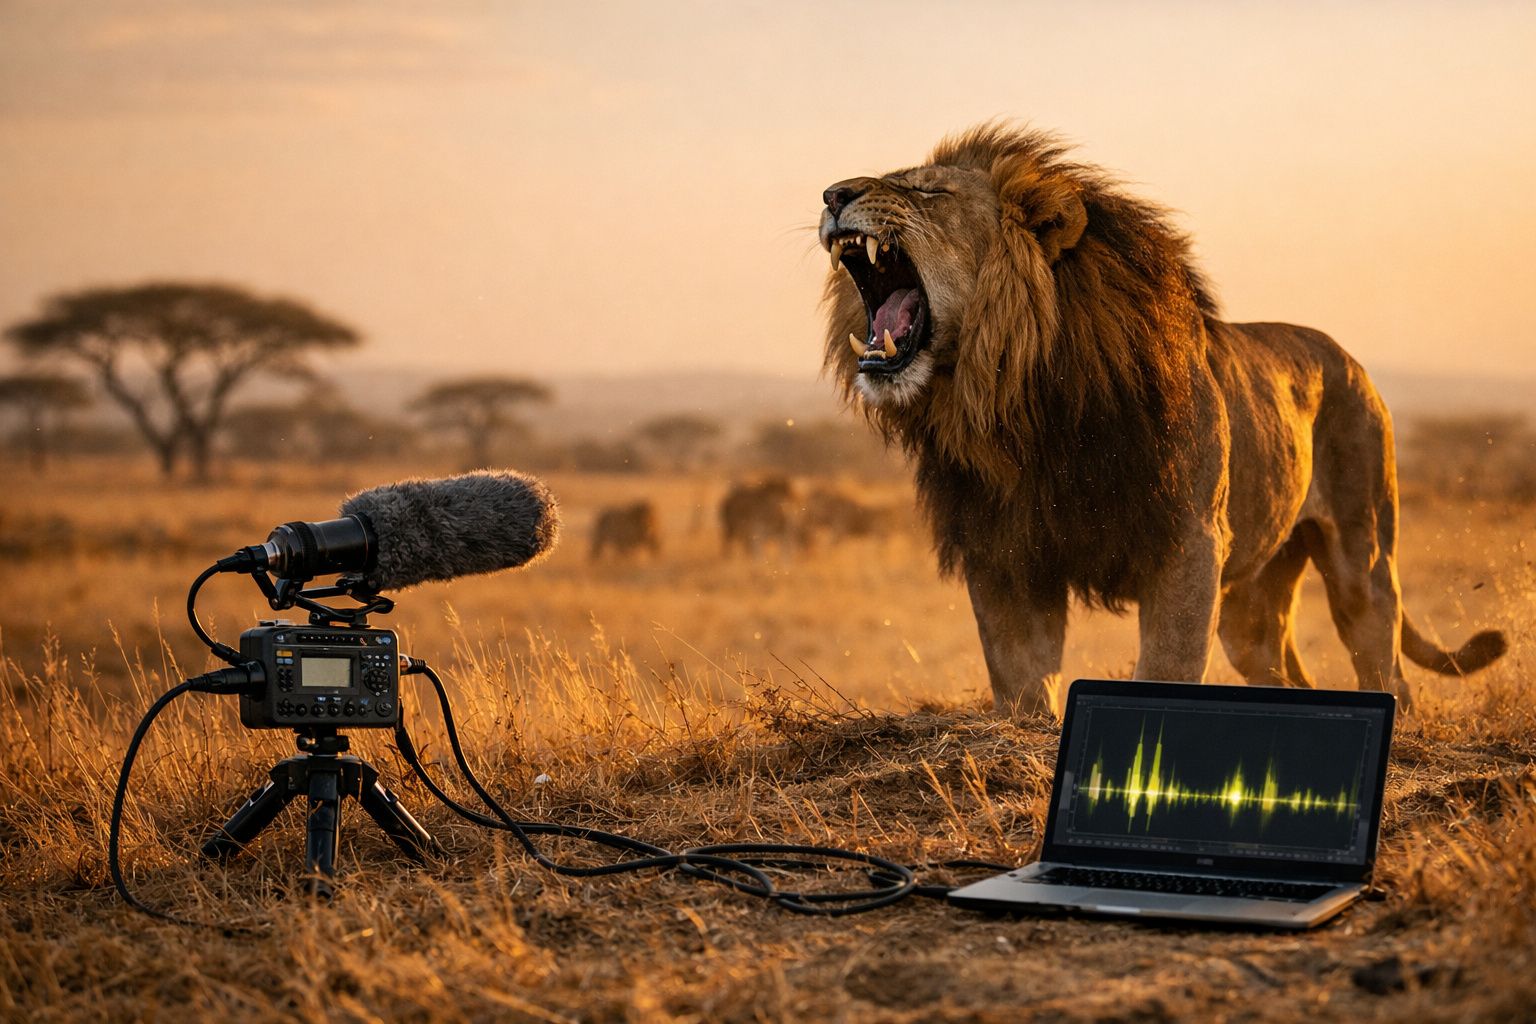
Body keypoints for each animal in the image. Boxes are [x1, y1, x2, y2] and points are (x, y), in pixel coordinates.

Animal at [819, 123, 1506, 715]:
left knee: (1385, 663)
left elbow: (1167, 667)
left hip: (1363, 553)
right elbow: (1020, 682)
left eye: (928, 191)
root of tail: (1353, 362)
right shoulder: (1006, 551)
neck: (1024, 401)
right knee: (1286, 671)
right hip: (1251, 600)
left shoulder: (1188, 539)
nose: (832, 194)